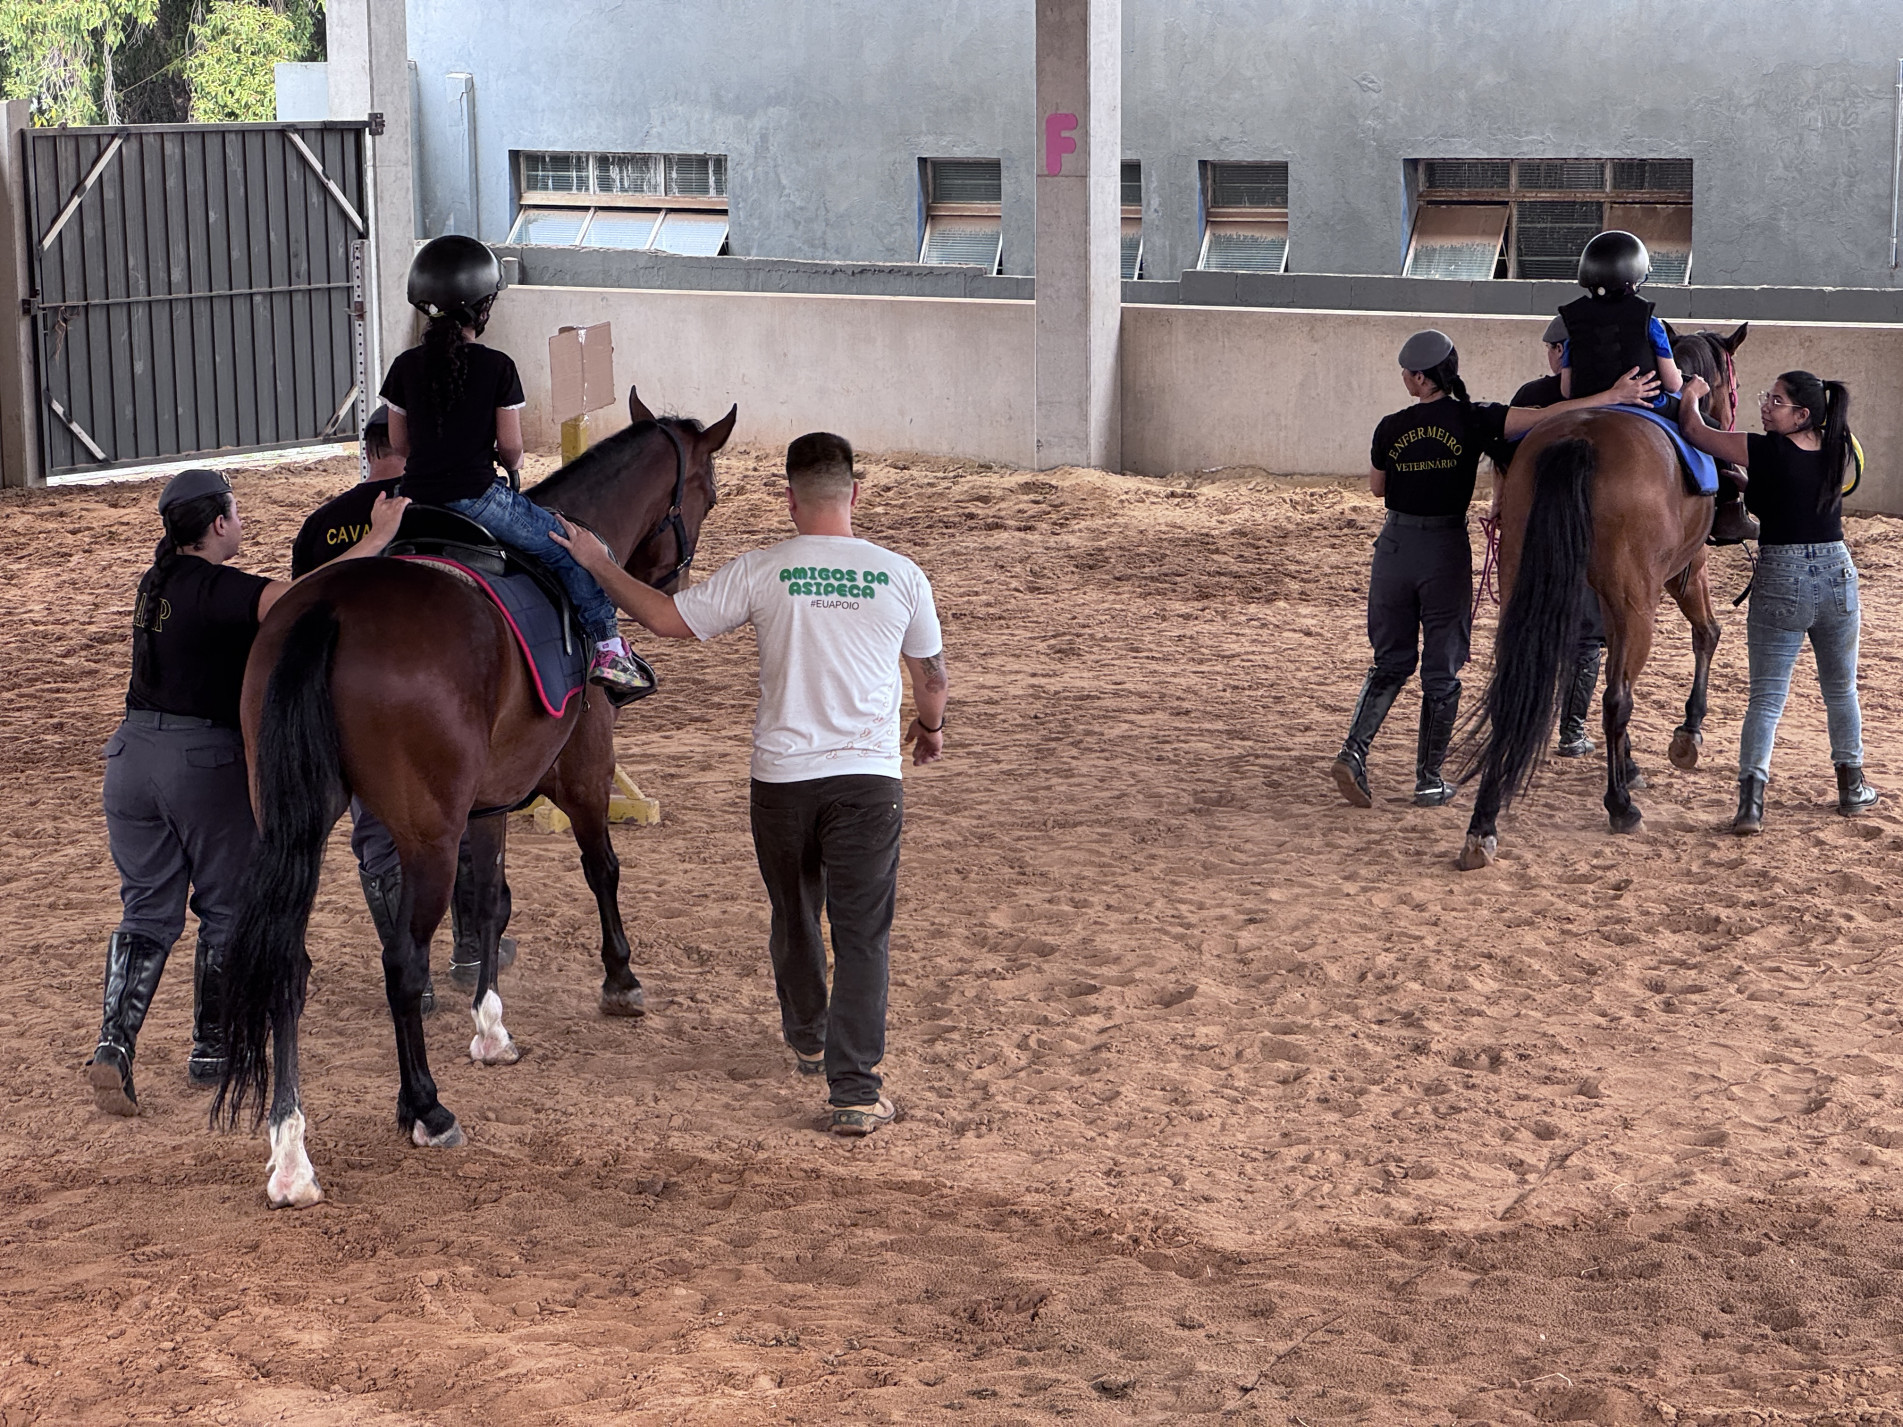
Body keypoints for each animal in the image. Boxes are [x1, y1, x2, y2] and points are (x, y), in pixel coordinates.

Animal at [213, 389, 735, 1207]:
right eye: (706, 493)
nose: (673, 585)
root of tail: (328, 610)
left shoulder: (487, 804)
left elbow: (490, 899)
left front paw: (491, 1027)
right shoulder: (584, 768)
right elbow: (602, 867)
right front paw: (620, 978)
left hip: (294, 823)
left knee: (288, 965)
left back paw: (291, 1152)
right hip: (427, 832)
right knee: (402, 959)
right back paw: (424, 1106)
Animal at [1454, 324, 1748, 871]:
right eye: (1732, 388)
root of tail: (1580, 439)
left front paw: (1632, 763)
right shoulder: (1683, 572)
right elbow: (1707, 634)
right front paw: (1687, 735)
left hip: (1530, 587)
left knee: (1517, 688)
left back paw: (1483, 825)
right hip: (1637, 604)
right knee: (1617, 698)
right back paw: (1620, 807)